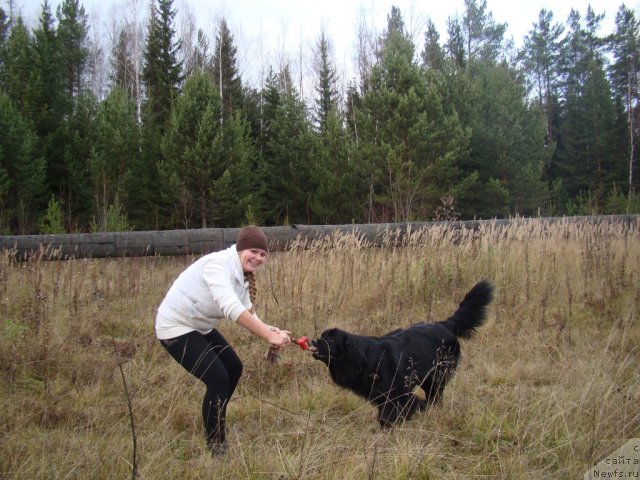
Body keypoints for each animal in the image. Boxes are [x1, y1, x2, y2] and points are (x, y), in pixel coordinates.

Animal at [312, 282, 492, 428]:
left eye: (331, 340)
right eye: (322, 336)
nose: (313, 341)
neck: (365, 359)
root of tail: (445, 324)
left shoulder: (397, 393)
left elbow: (399, 409)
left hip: (437, 377)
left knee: (436, 395)